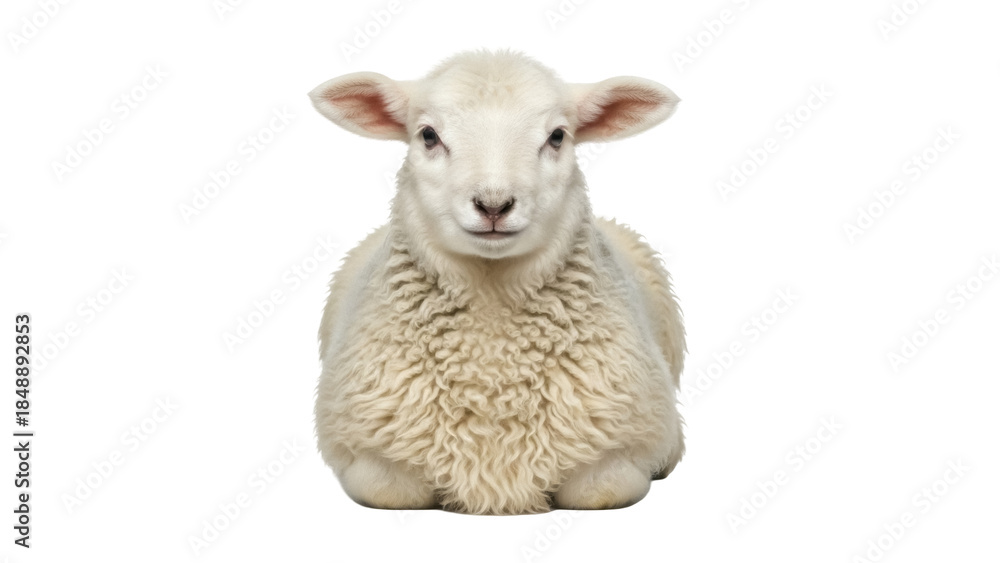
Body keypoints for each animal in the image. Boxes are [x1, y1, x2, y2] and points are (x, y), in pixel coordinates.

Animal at [310, 50, 685, 514]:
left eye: (557, 136)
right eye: (429, 135)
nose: (493, 204)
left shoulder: (619, 455)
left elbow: (598, 491)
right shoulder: (369, 455)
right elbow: (389, 491)